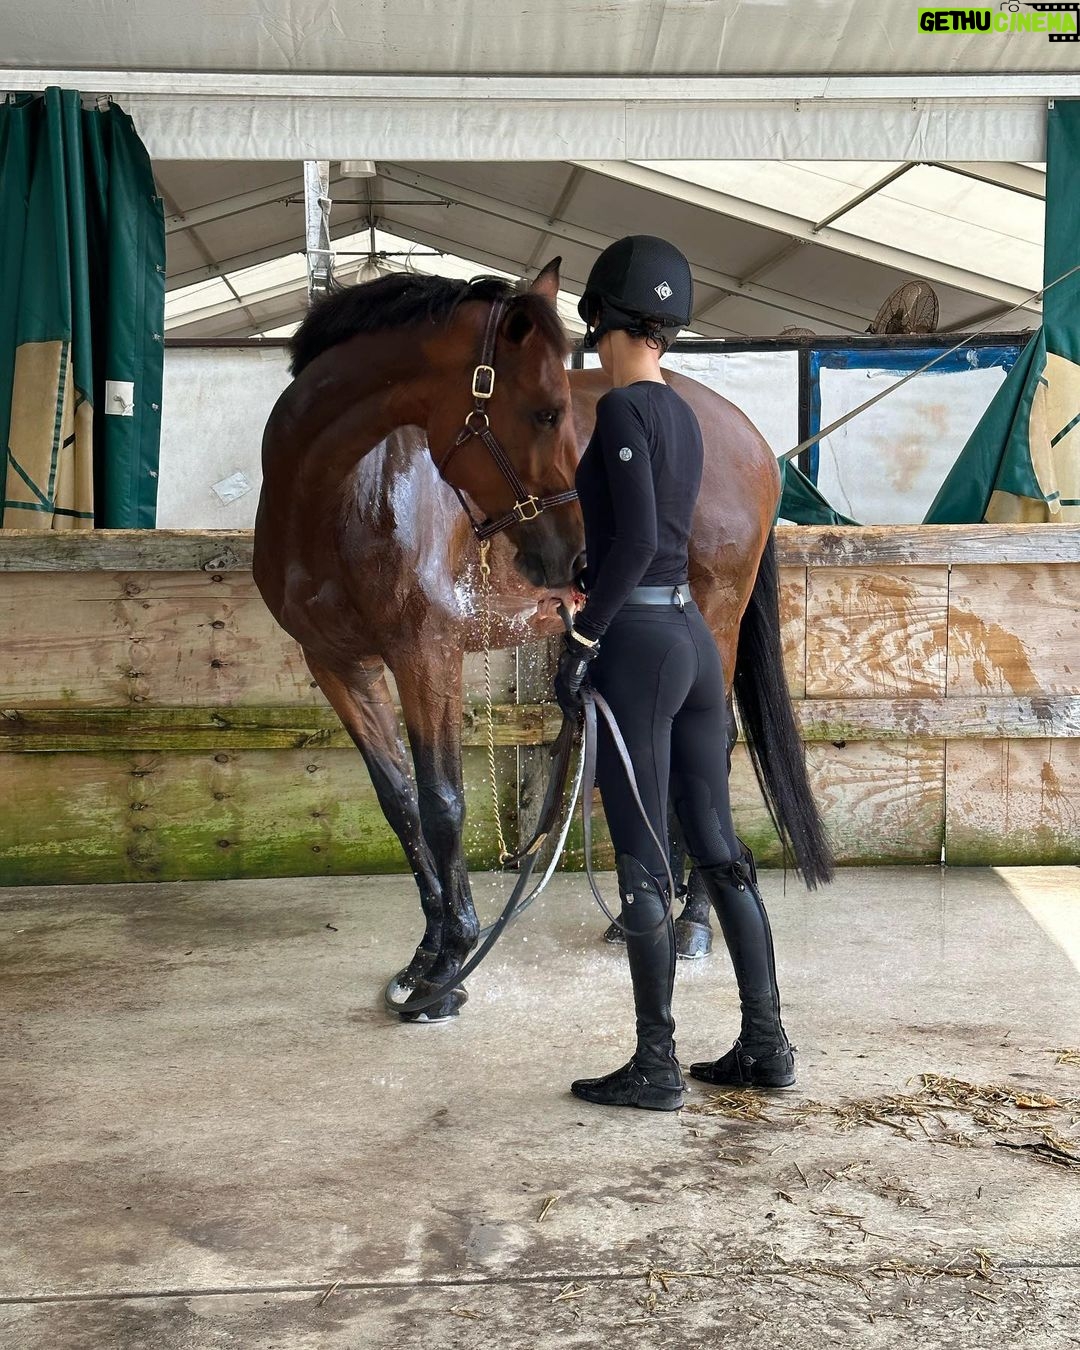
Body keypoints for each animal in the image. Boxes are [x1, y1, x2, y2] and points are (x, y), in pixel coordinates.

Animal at [254, 259, 833, 1021]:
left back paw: (691, 923)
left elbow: (444, 804)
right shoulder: (338, 666)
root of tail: (752, 440)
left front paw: (450, 966)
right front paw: (425, 958)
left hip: (715, 614)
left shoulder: (425, 656)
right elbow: (401, 803)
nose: (575, 556)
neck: (341, 495)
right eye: (546, 412)